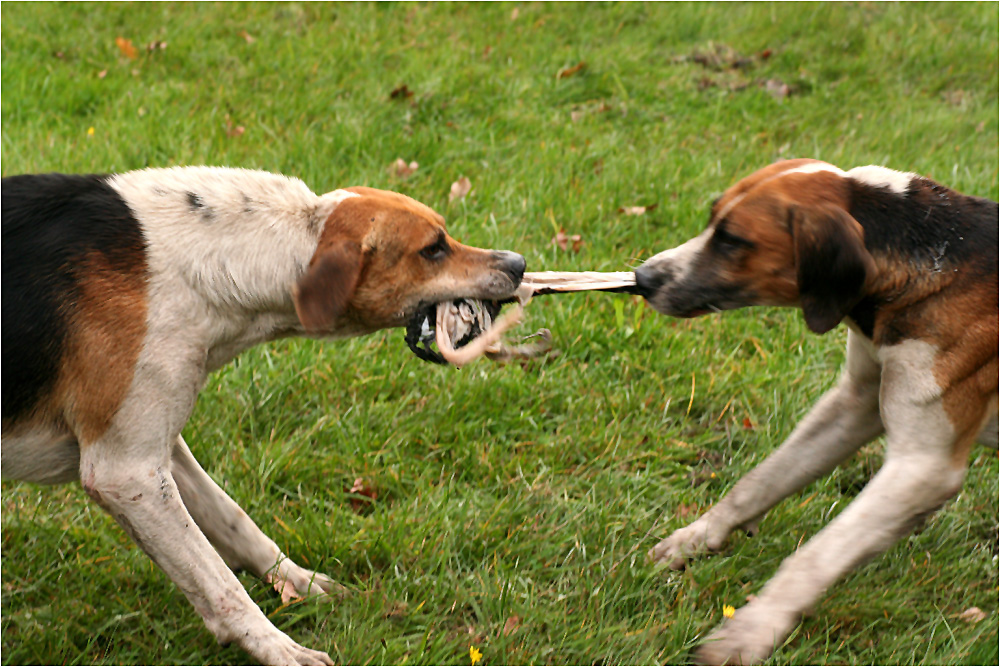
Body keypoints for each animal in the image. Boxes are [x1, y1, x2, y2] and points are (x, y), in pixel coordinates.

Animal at [0, 168, 528, 667]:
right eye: (433, 248)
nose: (518, 264)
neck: (194, 261)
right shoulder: (126, 473)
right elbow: (218, 582)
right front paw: (279, 649)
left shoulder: (162, 449)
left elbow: (235, 523)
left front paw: (298, 583)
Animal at [636, 159, 996, 664]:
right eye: (712, 220)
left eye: (732, 240)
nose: (642, 278)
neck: (938, 256)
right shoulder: (854, 404)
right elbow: (757, 483)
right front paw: (697, 537)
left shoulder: (922, 469)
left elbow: (815, 557)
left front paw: (751, 630)